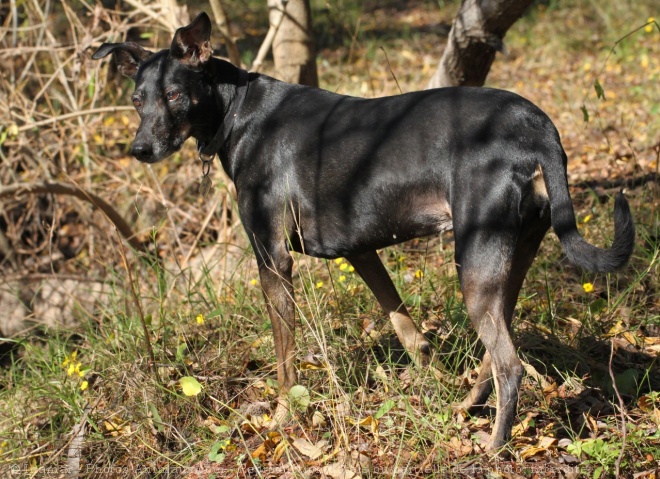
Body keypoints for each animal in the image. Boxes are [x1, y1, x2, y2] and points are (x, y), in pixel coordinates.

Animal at [93, 13, 636, 452]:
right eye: (137, 100)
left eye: (174, 95)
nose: (140, 149)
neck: (236, 112)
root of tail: (538, 124)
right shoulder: (358, 249)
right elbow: (403, 324)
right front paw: (429, 377)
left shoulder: (272, 258)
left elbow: (285, 359)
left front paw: (283, 418)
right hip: (509, 255)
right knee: (498, 347)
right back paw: (466, 407)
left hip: (477, 261)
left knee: (510, 364)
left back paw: (495, 446)